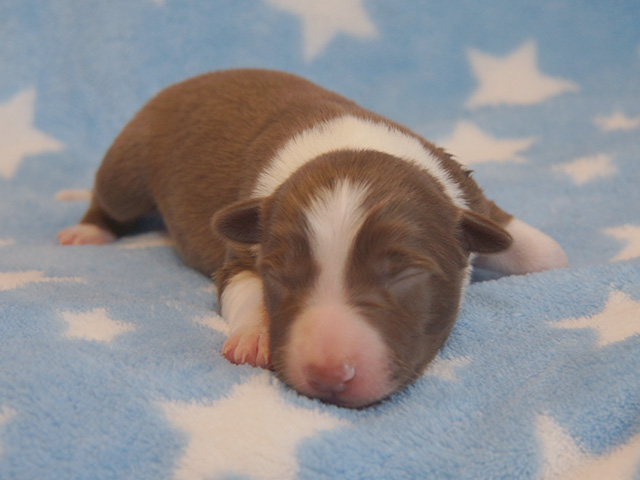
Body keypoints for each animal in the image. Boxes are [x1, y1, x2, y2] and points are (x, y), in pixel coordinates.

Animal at [58, 69, 568, 407]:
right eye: (279, 275)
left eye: (404, 274)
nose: (328, 373)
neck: (349, 147)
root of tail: (189, 79)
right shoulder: (242, 247)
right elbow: (241, 286)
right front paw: (254, 335)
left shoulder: (468, 195)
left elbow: (525, 242)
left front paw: (557, 259)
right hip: (129, 167)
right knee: (110, 197)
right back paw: (87, 230)